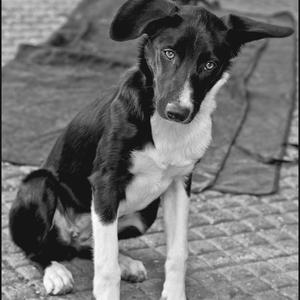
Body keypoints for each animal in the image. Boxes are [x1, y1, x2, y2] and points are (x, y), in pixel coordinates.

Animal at [8, 0, 292, 298]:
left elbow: (177, 253)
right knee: (40, 249)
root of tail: (73, 233)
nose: (178, 112)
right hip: (40, 185)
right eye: (168, 53)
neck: (164, 128)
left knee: (90, 245)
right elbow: (106, 268)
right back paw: (55, 271)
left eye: (209, 64)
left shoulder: (180, 184)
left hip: (145, 213)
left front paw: (174, 292)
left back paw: (125, 262)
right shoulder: (106, 183)